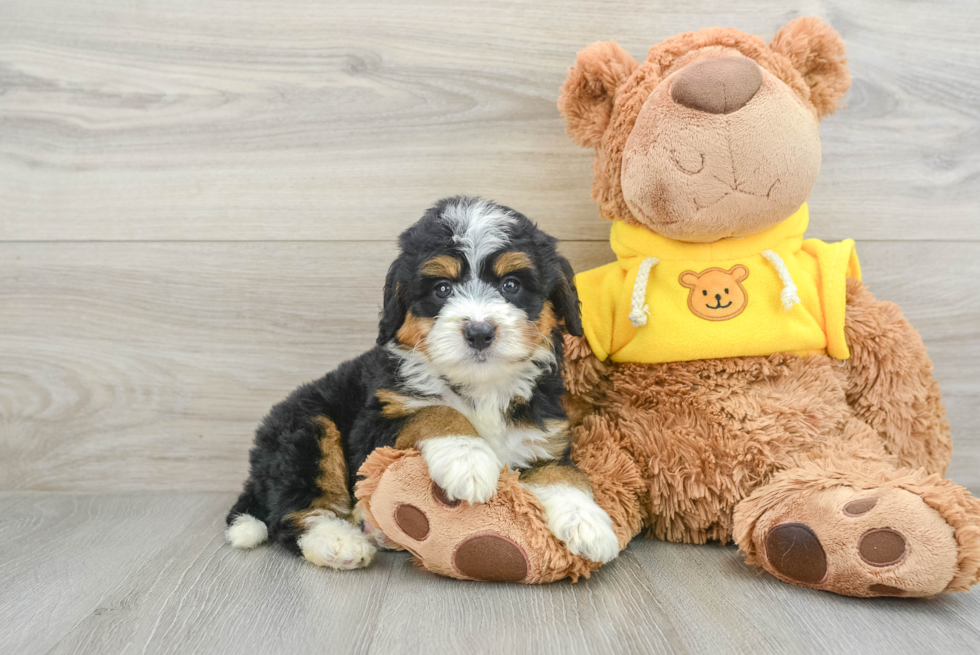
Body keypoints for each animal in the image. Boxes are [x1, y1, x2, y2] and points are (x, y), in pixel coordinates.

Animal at [226, 197, 616, 572]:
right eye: (442, 289)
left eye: (511, 285)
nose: (479, 332)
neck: (480, 387)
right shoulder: (376, 422)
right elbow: (434, 410)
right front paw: (468, 460)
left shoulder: (542, 436)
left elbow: (562, 475)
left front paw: (588, 523)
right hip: (308, 429)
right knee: (291, 512)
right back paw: (339, 542)